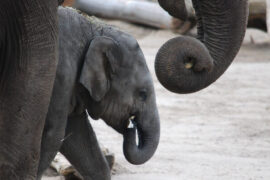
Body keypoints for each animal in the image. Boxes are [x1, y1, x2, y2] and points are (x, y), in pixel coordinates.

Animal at [38, 7, 160, 180]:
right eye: (142, 94)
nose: (131, 128)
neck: (92, 29)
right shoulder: (59, 77)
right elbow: (51, 136)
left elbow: (77, 136)